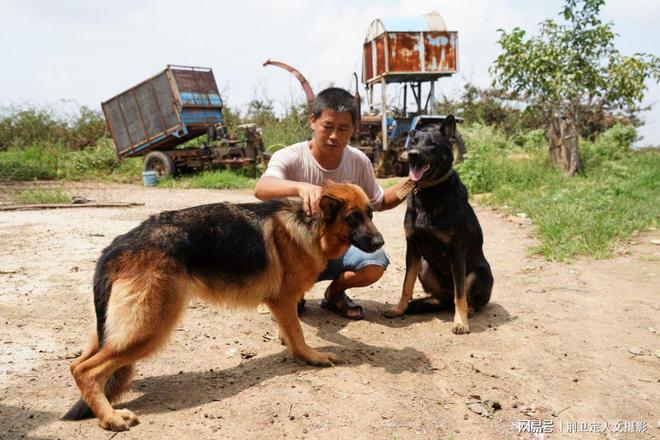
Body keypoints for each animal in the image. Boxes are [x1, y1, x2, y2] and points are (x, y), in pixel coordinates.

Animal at [63, 181, 382, 430]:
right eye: (353, 218)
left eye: (370, 214)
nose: (380, 243)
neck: (310, 225)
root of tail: (116, 247)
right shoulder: (283, 299)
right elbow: (299, 334)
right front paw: (311, 356)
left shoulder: (283, 305)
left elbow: (290, 329)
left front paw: (287, 342)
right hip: (148, 329)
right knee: (86, 371)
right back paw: (110, 418)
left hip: (114, 329)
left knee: (76, 363)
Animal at [384, 115, 492, 336]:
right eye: (413, 142)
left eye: (432, 144)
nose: (412, 155)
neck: (429, 191)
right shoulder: (413, 248)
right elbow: (406, 284)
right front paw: (399, 308)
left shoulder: (456, 251)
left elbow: (460, 294)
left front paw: (460, 322)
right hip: (425, 267)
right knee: (444, 299)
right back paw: (424, 303)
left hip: (477, 274)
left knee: (464, 297)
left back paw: (470, 310)